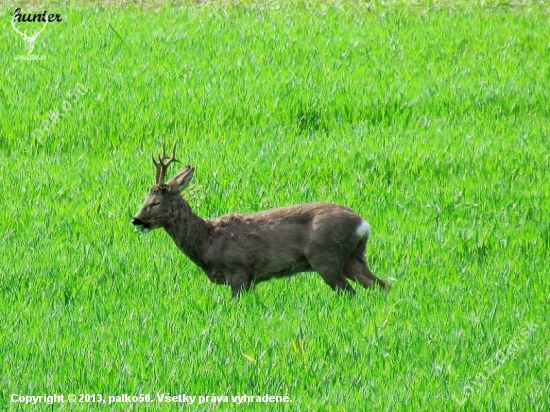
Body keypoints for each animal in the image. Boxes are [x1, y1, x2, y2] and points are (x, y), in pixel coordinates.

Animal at [133, 143, 388, 298]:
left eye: (155, 202)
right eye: (145, 198)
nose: (136, 219)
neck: (207, 241)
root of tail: (363, 224)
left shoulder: (238, 271)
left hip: (327, 258)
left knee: (352, 292)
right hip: (353, 257)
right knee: (382, 285)